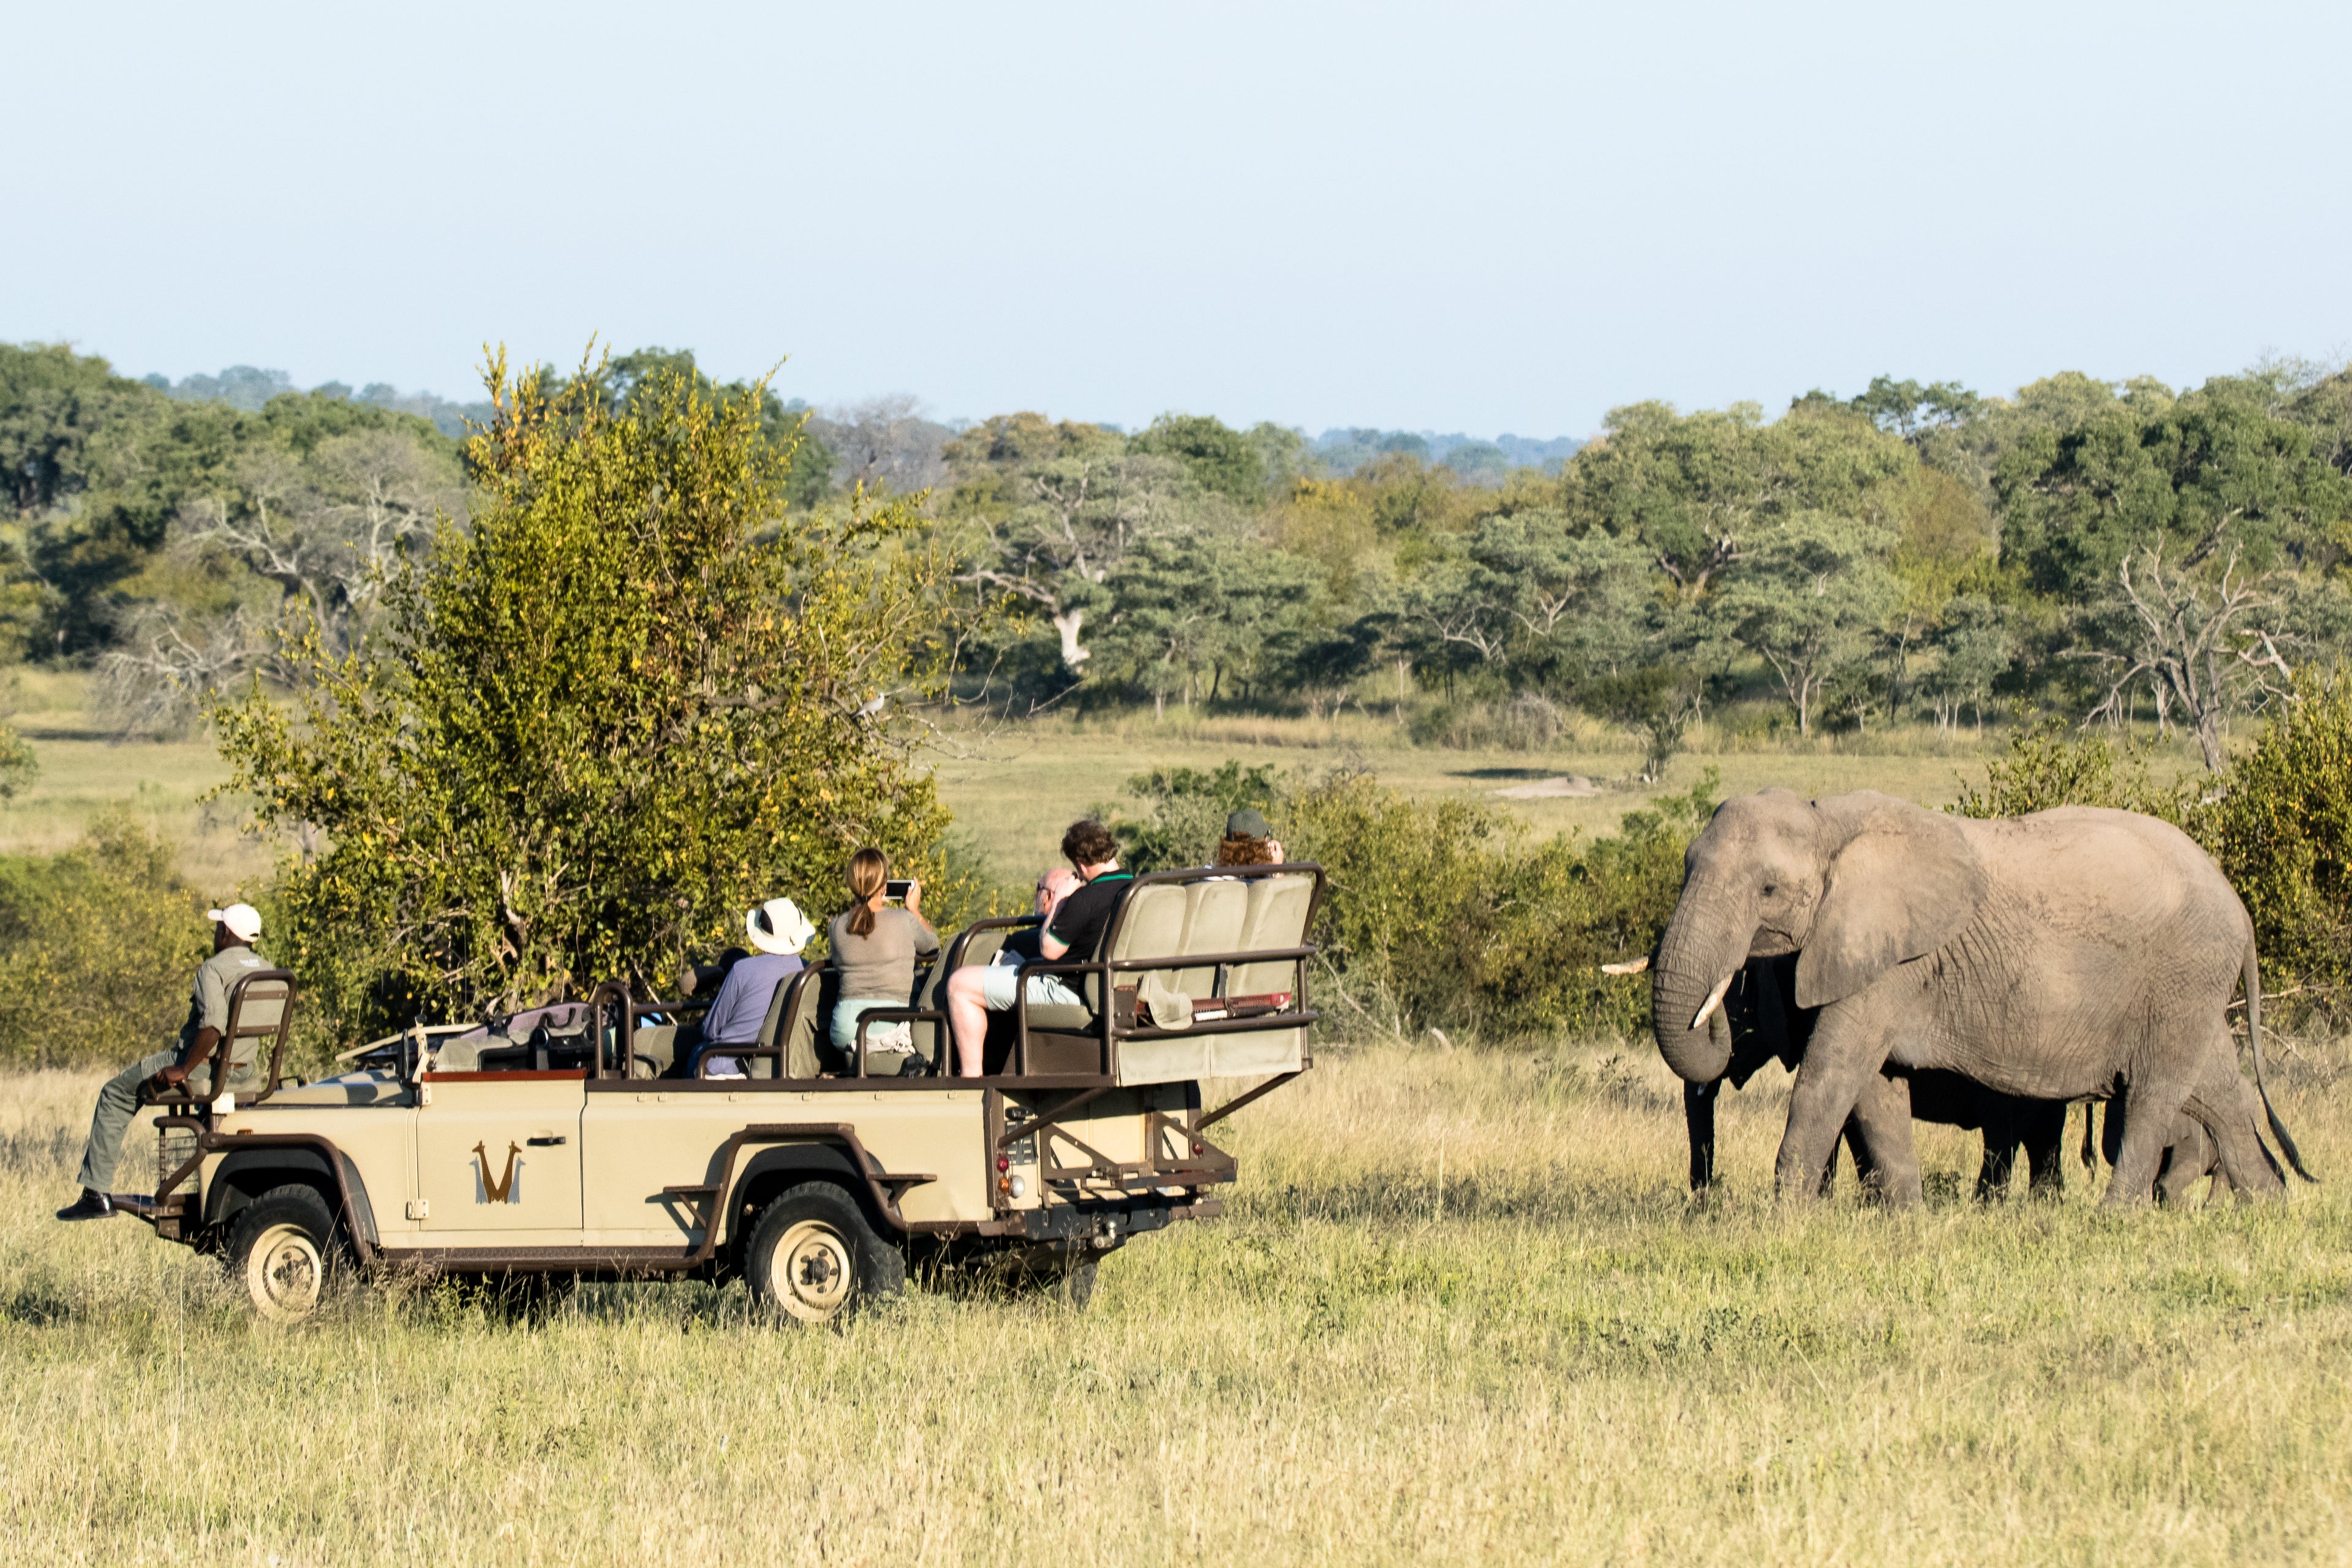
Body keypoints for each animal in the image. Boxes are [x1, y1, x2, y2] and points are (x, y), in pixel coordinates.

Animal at [1649, 789, 2310, 1206]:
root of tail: (2240, 909)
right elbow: (1874, 1092)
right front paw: (1902, 1223)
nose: (1704, 1198)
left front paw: (1786, 1222)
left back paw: (2113, 1219)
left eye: (1767, 889)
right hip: (2193, 991)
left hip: (2181, 974)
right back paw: (2268, 1212)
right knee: (2220, 1096)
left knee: (2152, 1095)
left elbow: (1830, 1079)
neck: (1826, 821)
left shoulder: (1890, 959)